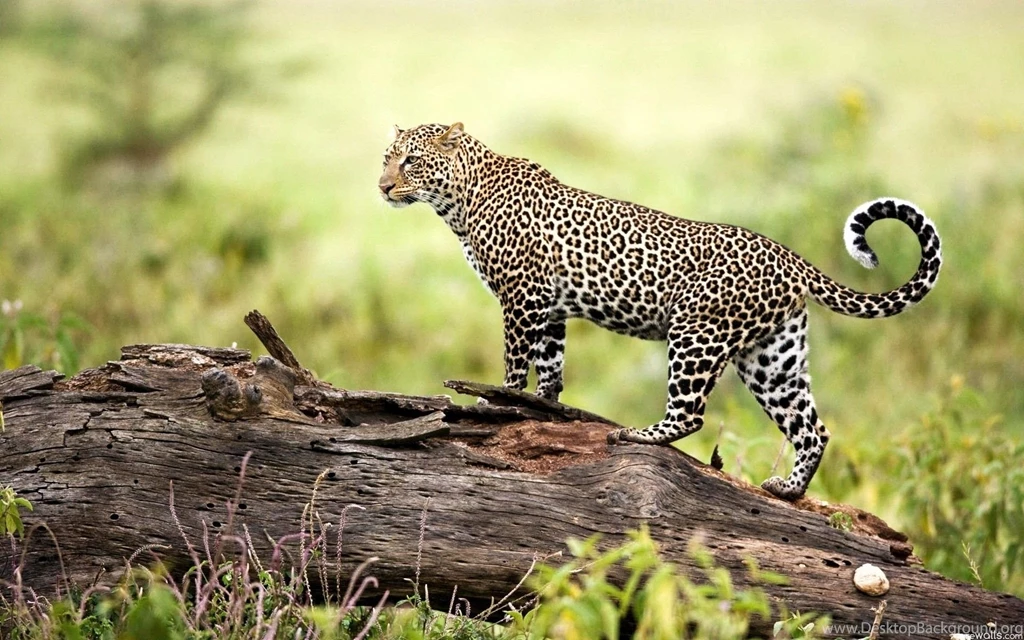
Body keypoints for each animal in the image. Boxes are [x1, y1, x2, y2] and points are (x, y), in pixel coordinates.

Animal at [377, 122, 942, 501]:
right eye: (386, 158)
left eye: (411, 162)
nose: (383, 187)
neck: (459, 201)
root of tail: (790, 257)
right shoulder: (550, 307)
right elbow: (551, 367)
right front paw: (542, 407)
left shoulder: (521, 298)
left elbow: (516, 363)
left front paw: (494, 406)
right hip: (772, 358)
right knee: (811, 428)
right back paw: (788, 490)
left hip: (696, 334)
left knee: (691, 414)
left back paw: (636, 434)